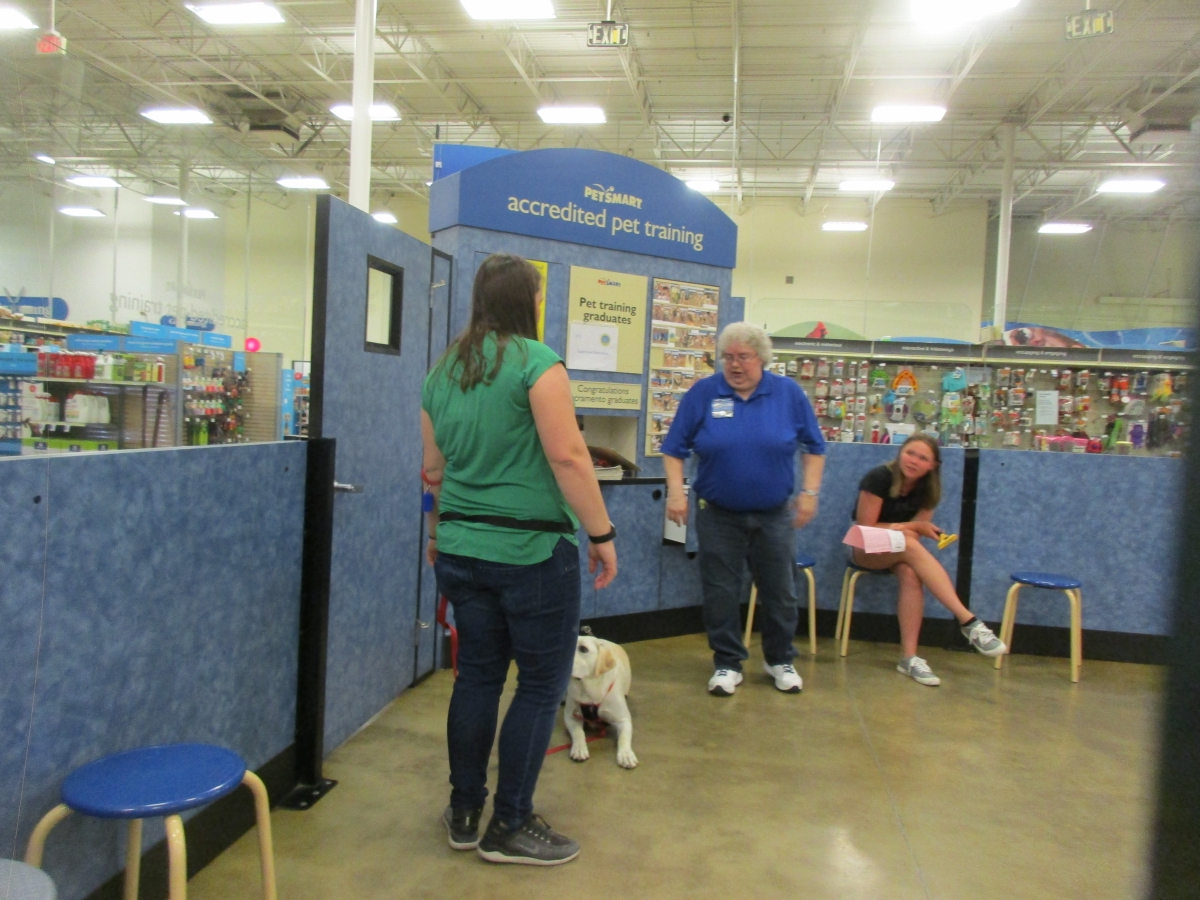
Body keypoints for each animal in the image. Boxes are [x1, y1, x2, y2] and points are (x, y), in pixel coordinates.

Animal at [565, 636, 637, 769]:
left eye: (583, 649)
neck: (588, 690)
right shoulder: (571, 716)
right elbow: (578, 732)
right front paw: (579, 749)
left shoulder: (623, 719)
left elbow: (624, 738)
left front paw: (626, 755)